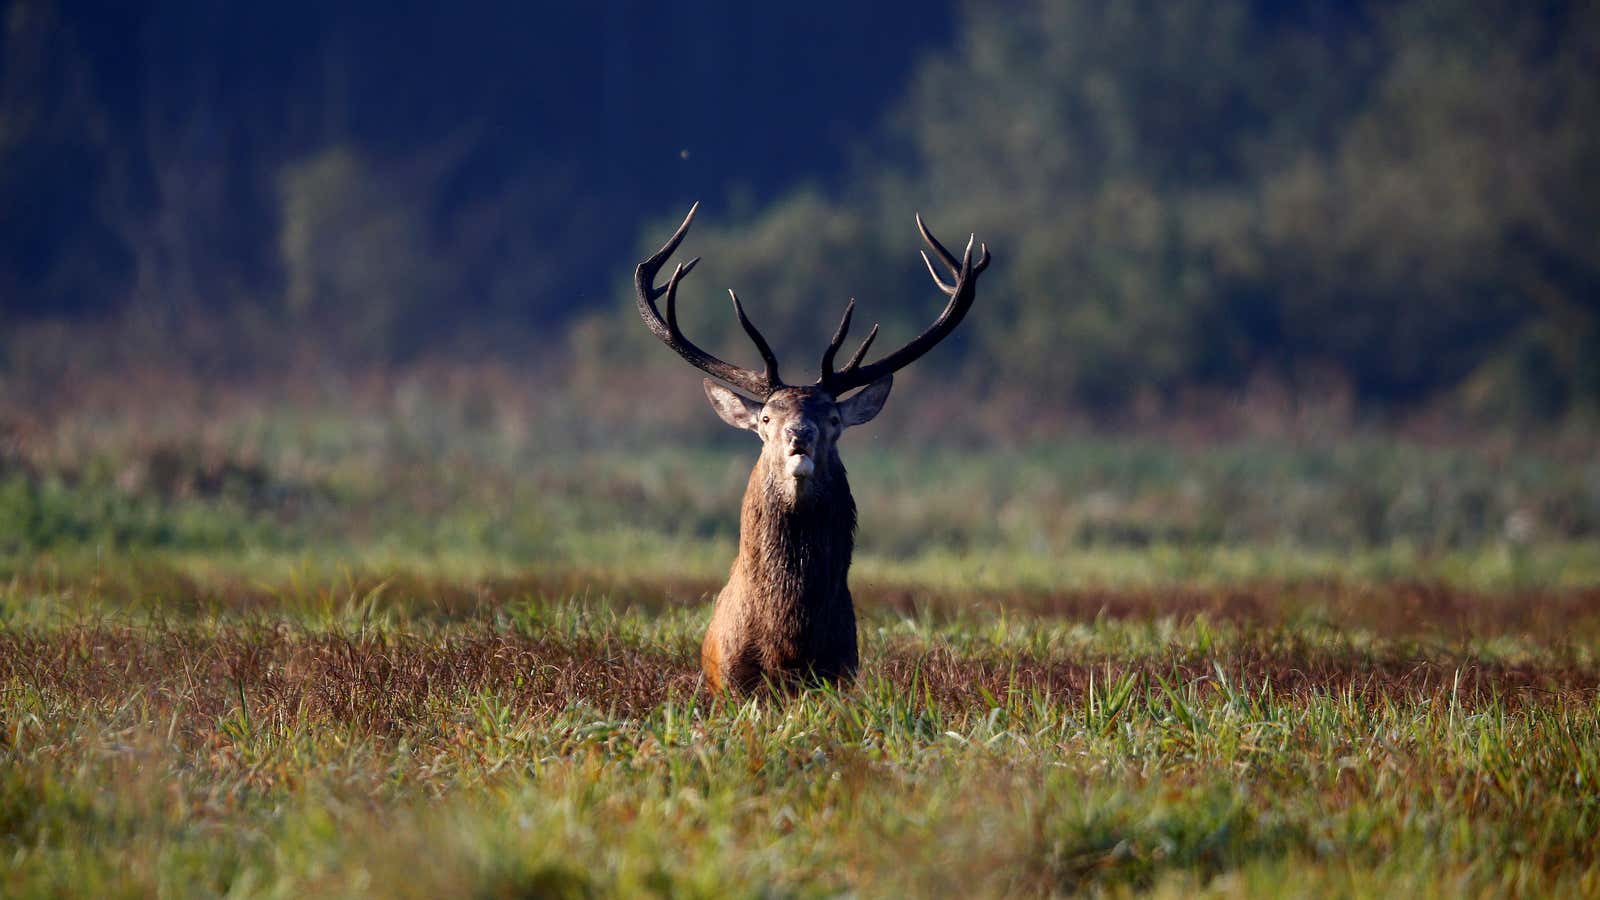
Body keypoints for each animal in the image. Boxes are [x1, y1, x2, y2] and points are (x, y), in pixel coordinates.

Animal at [633, 204, 985, 695]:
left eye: (833, 420)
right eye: (765, 420)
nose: (800, 436)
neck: (788, 648)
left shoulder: (840, 673)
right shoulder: (733, 684)